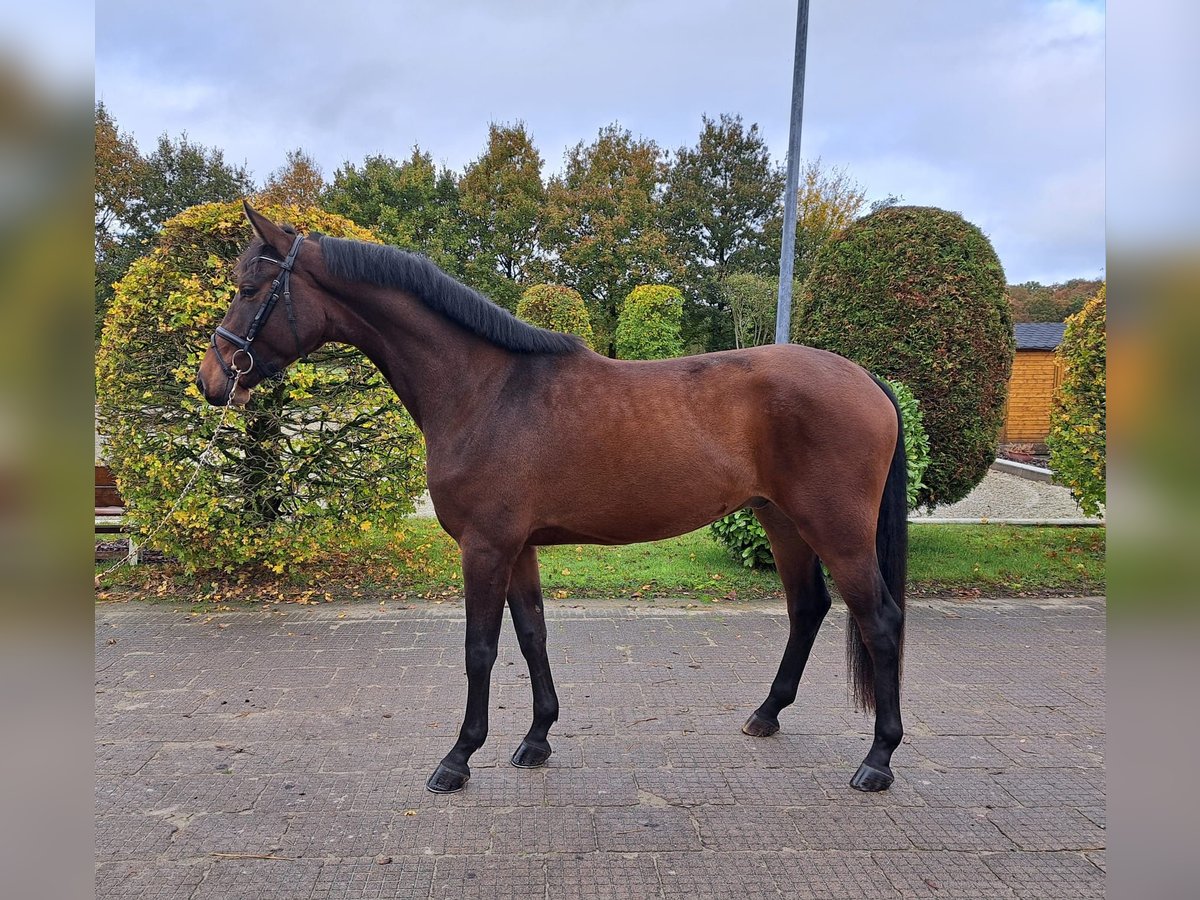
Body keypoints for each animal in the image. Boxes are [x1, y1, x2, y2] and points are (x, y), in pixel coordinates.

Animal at [196, 204, 907, 796]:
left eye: (250, 289)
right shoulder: (518, 547)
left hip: (836, 528)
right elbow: (532, 634)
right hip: (781, 520)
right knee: (808, 608)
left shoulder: (484, 547)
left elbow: (480, 649)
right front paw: (536, 739)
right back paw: (766, 714)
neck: (486, 390)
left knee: (880, 620)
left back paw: (877, 760)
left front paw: (458, 758)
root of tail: (867, 379)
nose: (211, 380)